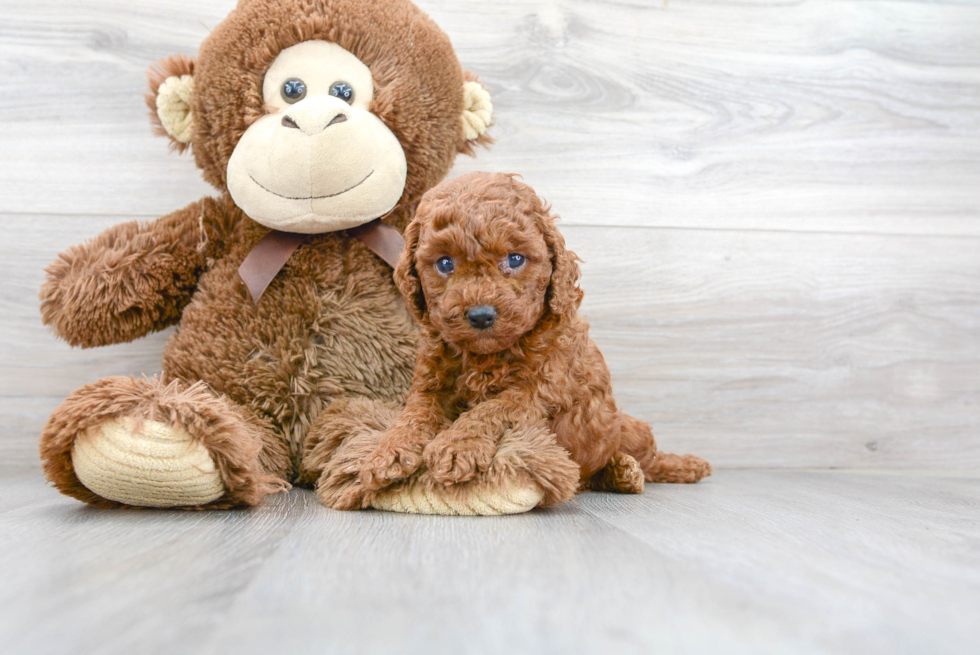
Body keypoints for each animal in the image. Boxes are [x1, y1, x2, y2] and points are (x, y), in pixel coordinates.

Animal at [360, 172, 712, 494]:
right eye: (445, 264)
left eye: (515, 259)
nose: (481, 315)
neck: (486, 356)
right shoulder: (431, 383)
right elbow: (415, 413)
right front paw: (389, 450)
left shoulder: (538, 389)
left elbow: (491, 409)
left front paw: (456, 447)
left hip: (629, 429)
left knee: (650, 459)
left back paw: (646, 469)